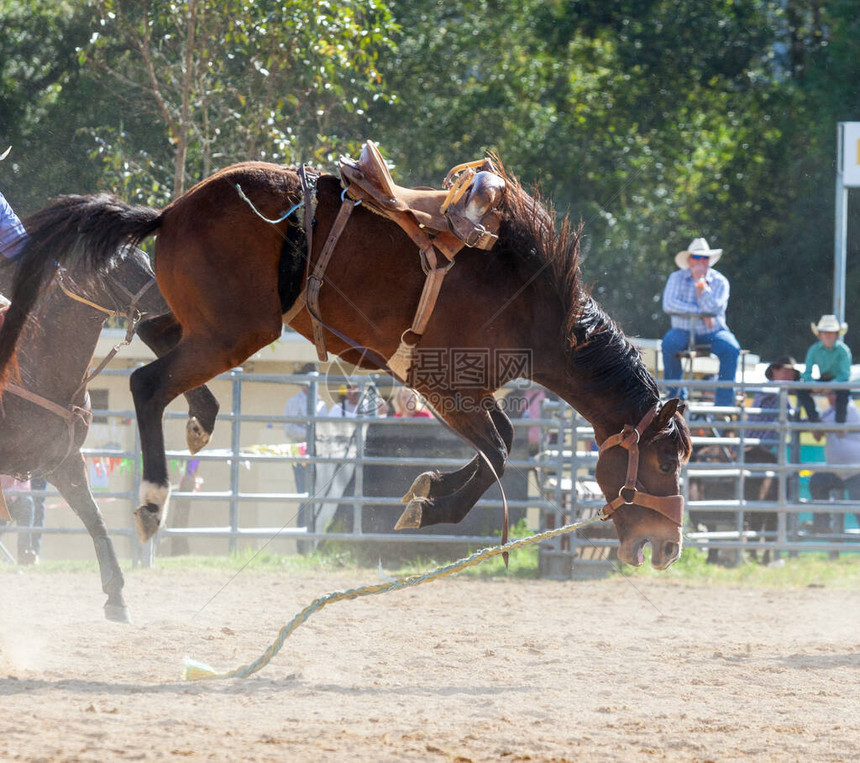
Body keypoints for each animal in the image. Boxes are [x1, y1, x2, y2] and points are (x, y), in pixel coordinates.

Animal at [0, 158, 692, 572]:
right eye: (666, 460)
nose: (666, 547)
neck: (532, 305)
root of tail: (170, 212)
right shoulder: (441, 383)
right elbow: (499, 449)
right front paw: (428, 507)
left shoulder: (455, 391)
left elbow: (498, 445)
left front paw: (425, 494)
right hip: (234, 333)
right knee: (147, 383)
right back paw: (150, 501)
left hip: (211, 324)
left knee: (153, 333)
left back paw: (201, 419)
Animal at [0, 248, 218, 624]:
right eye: (117, 266)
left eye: (144, 256)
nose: (171, 299)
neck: (34, 369)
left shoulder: (66, 463)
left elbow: (95, 519)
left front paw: (116, 597)